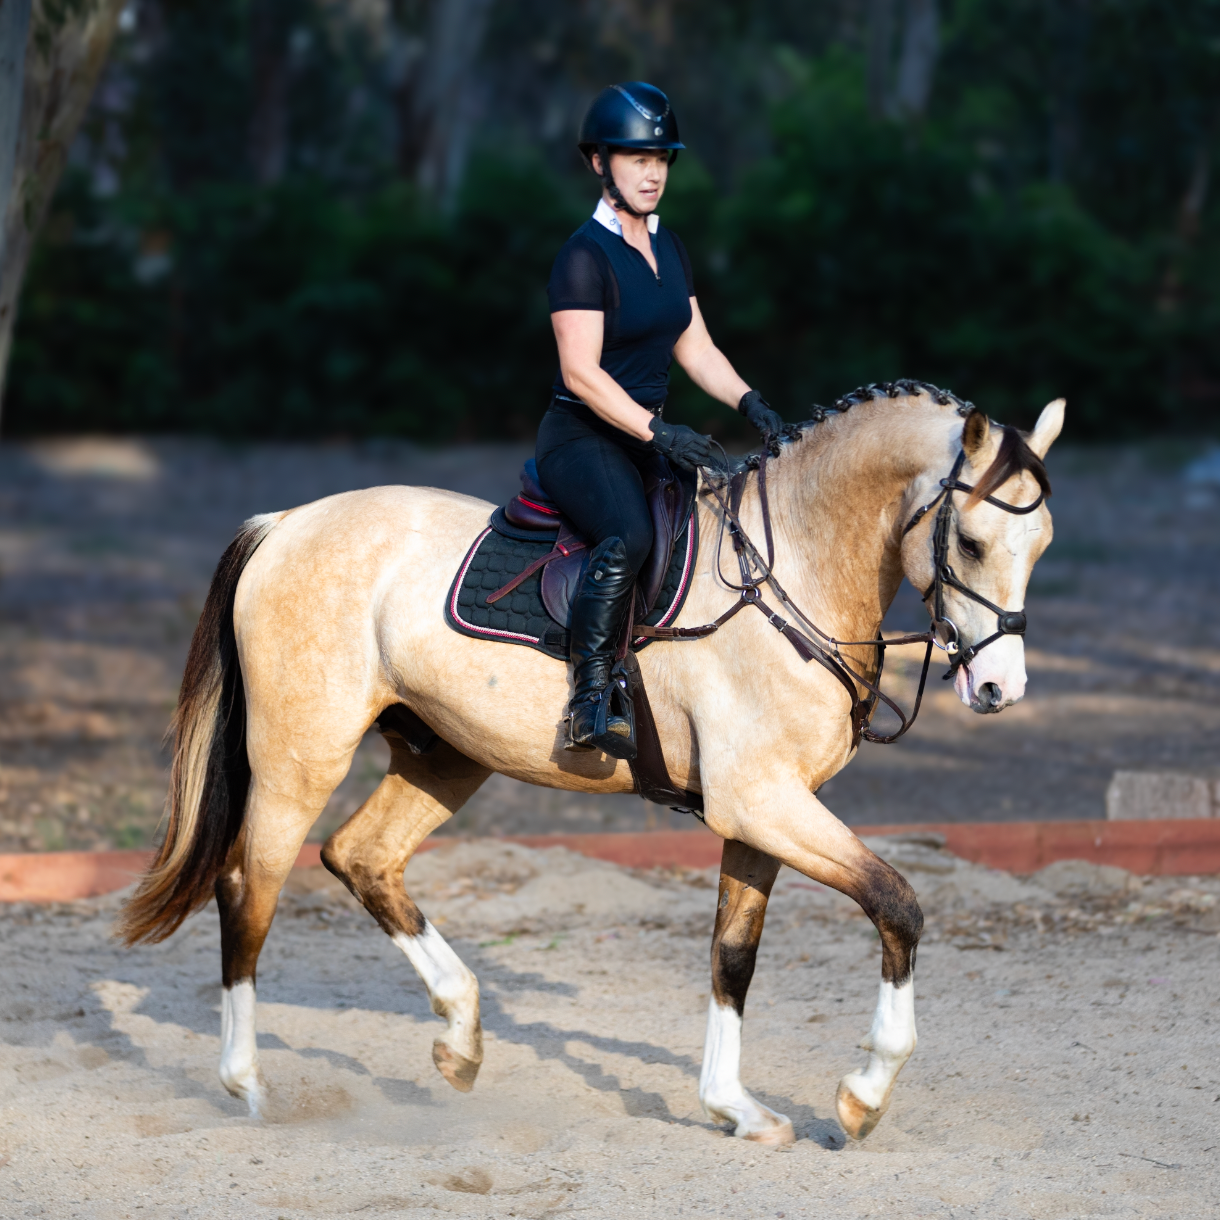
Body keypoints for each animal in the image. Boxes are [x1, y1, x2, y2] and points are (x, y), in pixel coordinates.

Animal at [118, 383, 1063, 1147]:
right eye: (971, 543)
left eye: (1043, 545)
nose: (999, 687)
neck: (790, 567)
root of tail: (285, 524)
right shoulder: (763, 803)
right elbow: (897, 903)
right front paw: (864, 1094)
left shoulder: (763, 811)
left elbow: (733, 955)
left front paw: (734, 1107)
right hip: (298, 759)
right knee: (250, 889)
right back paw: (248, 1084)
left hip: (447, 756)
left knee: (361, 857)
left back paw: (460, 1037)